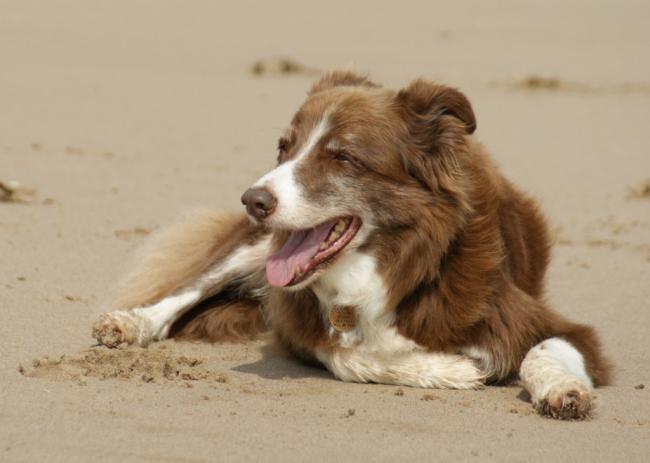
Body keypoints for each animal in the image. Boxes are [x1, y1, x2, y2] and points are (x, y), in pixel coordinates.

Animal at [93, 71, 612, 420]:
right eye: (284, 148)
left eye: (342, 156)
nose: (252, 200)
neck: (400, 262)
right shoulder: (299, 328)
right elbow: (349, 356)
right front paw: (455, 370)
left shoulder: (562, 327)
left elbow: (540, 350)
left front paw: (563, 391)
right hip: (252, 248)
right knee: (185, 289)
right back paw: (129, 323)